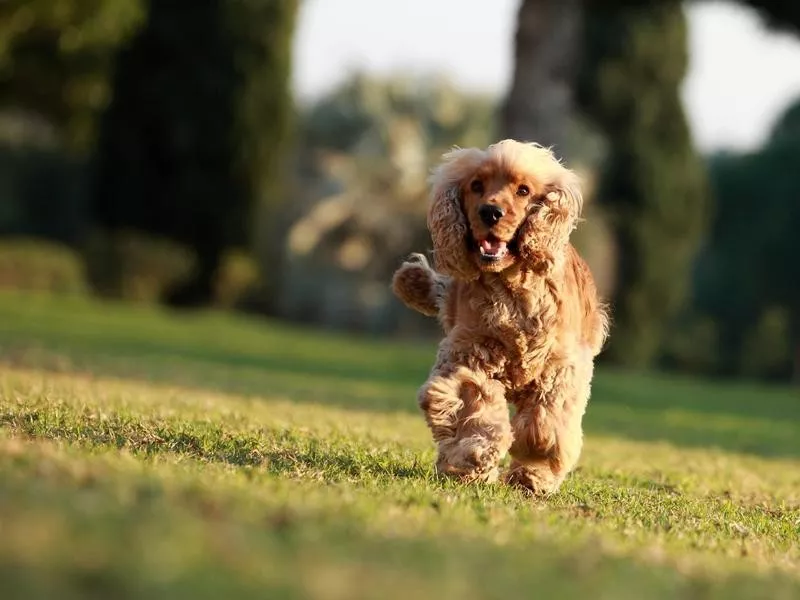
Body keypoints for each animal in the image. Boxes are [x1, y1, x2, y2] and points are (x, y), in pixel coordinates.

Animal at [392, 138, 608, 494]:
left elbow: (544, 426)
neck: (510, 287)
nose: (490, 212)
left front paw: (533, 466)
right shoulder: (469, 353)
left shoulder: (561, 367)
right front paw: (473, 457)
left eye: (523, 190)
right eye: (476, 186)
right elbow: (474, 406)